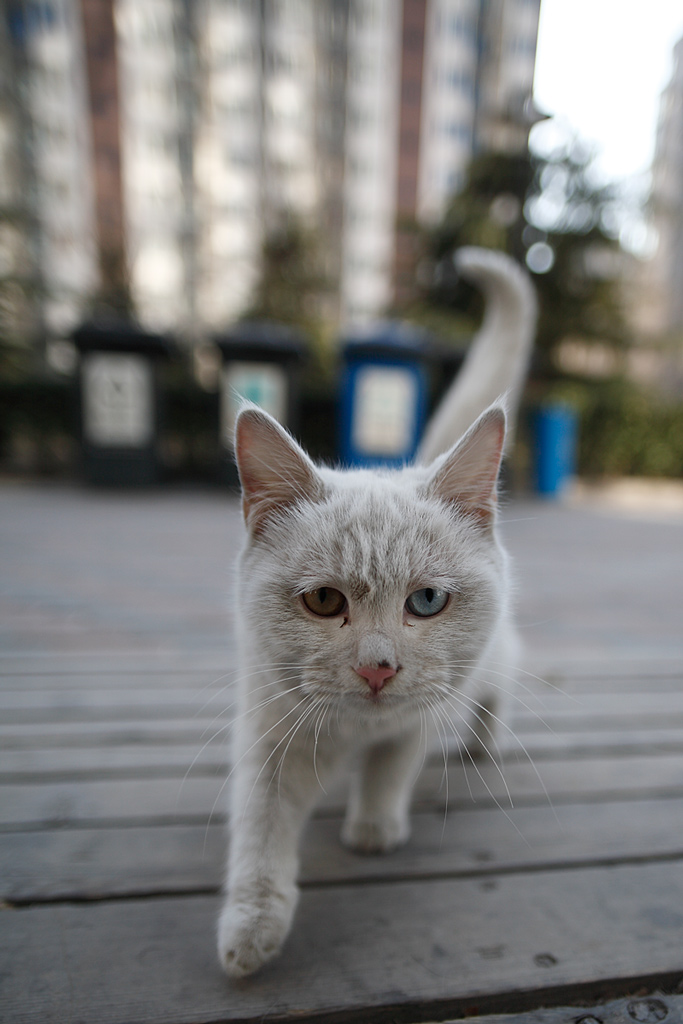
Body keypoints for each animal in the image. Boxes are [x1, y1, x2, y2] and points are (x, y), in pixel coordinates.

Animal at [216, 245, 536, 974]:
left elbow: (393, 765)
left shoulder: (424, 708)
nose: (378, 668)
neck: (351, 732)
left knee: (500, 683)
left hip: (491, 659)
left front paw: (374, 827)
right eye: (323, 600)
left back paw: (483, 743)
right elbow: (259, 827)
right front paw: (252, 925)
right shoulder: (269, 733)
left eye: (427, 600)